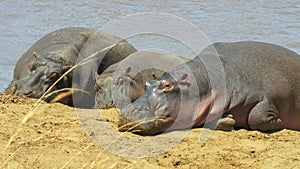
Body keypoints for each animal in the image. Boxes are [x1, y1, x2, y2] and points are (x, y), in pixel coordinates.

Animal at [118, 41, 300, 135]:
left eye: (167, 85)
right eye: (147, 83)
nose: (128, 112)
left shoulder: (264, 96)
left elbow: (257, 116)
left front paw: (279, 121)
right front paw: (228, 119)